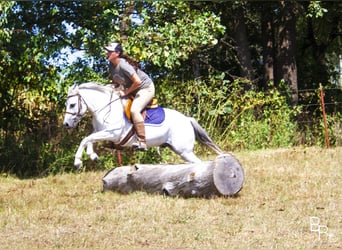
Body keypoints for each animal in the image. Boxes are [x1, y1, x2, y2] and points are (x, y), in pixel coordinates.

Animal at [62, 83, 223, 169]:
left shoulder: (112, 133)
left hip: (184, 151)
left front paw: (77, 162)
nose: (66, 124)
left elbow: (86, 139)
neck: (106, 109)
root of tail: (187, 120)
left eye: (72, 104)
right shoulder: (100, 131)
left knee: (198, 163)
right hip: (179, 149)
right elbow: (89, 139)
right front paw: (93, 156)